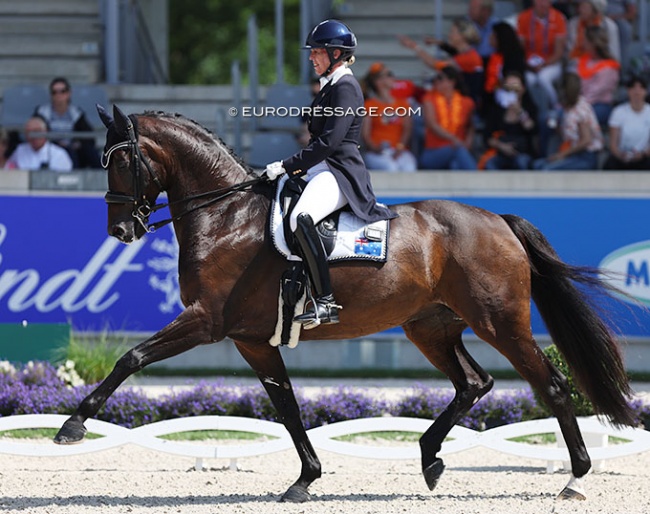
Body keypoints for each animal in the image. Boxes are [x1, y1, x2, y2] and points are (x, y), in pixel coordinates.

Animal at [54, 104, 632, 500]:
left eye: (121, 162)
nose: (121, 230)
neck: (226, 216)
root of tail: (498, 221)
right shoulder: (251, 339)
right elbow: (287, 406)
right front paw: (305, 479)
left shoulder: (206, 322)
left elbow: (131, 357)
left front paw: (73, 426)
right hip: (430, 327)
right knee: (474, 383)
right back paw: (429, 459)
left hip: (500, 322)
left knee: (551, 385)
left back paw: (576, 478)